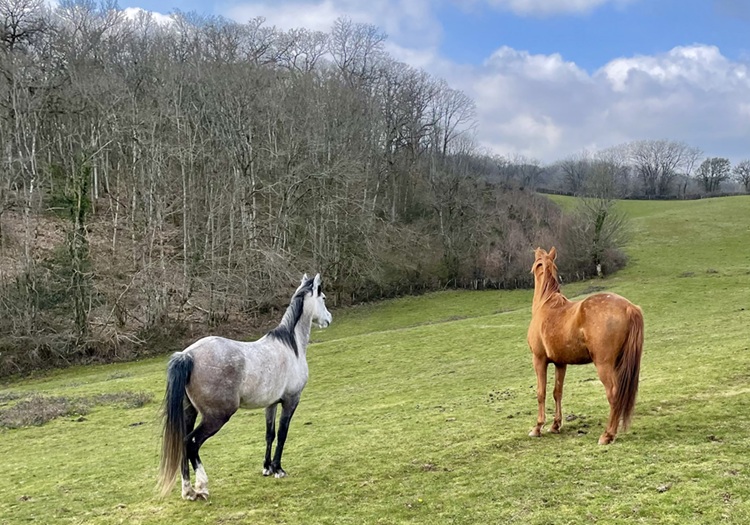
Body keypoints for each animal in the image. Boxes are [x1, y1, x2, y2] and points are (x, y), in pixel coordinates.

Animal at [157, 273, 332, 500]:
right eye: (323, 297)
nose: (329, 319)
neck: (290, 346)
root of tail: (187, 355)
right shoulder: (291, 400)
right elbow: (282, 433)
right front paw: (278, 469)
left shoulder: (271, 404)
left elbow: (270, 434)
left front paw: (267, 468)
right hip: (216, 417)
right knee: (192, 443)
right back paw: (201, 486)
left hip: (189, 411)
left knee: (183, 445)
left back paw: (188, 491)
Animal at [527, 247, 643, 445]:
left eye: (536, 265)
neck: (546, 305)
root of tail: (629, 307)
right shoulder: (560, 363)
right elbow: (557, 392)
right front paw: (555, 425)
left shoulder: (539, 360)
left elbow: (541, 392)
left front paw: (537, 427)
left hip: (604, 365)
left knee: (613, 394)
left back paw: (607, 435)